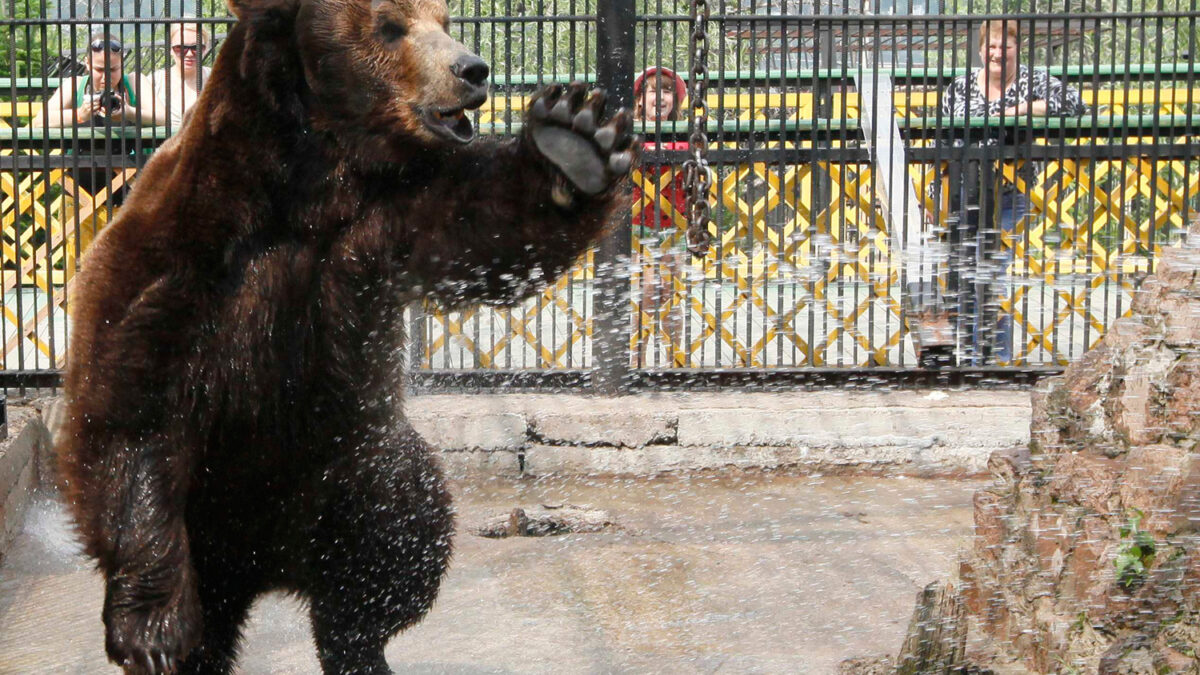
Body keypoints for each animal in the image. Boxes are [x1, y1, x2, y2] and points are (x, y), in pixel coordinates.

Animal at [54, 0, 638, 667]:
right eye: (391, 26)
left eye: (443, 19)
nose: (472, 68)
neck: (309, 182)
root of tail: (264, 568)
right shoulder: (177, 259)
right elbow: (131, 408)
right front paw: (150, 631)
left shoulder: (388, 222)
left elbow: (494, 231)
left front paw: (576, 139)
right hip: (220, 516)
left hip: (358, 468)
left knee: (394, 552)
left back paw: (359, 643)